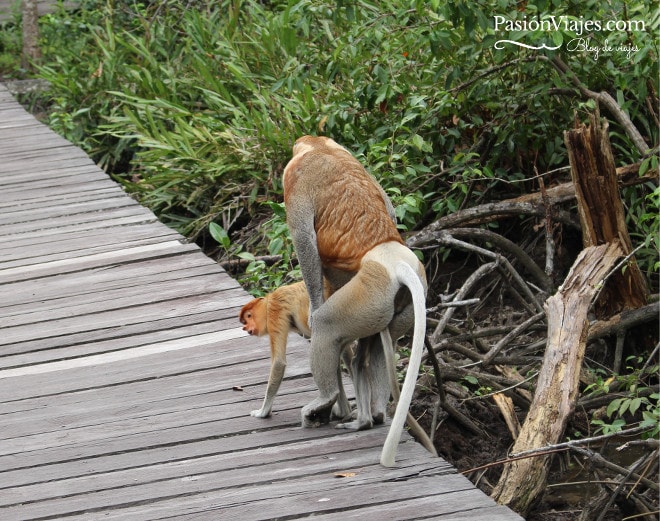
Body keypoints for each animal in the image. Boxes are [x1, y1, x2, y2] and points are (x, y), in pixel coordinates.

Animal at [240, 280, 354, 418]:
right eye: (244, 321)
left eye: (249, 316)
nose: (245, 328)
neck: (268, 302)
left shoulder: (274, 310)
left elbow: (279, 363)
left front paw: (262, 412)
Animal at [282, 135, 428, 468]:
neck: (320, 148)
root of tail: (395, 262)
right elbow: (389, 207)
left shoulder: (295, 183)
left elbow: (305, 241)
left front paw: (314, 309)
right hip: (392, 306)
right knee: (378, 348)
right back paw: (374, 412)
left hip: (368, 293)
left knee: (328, 327)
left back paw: (325, 404)